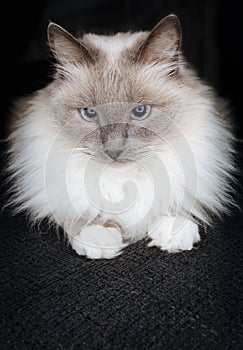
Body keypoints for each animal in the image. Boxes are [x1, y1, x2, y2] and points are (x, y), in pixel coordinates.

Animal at [7, 15, 235, 258]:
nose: (114, 151)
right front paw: (99, 236)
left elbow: (176, 195)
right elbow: (81, 210)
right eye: (89, 113)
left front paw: (172, 232)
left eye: (140, 111)